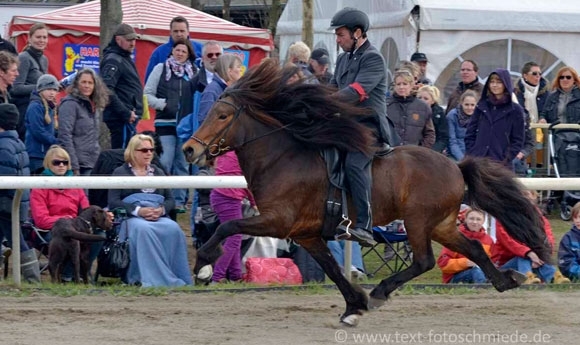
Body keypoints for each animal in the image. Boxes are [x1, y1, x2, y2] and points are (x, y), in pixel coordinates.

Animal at [184, 59, 552, 326]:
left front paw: (203, 265)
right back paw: (505, 280)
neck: (282, 158)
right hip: (441, 224)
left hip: (418, 221)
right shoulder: (305, 234)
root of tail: (455, 166)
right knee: (473, 247)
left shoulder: (278, 221)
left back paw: (381, 292)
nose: (189, 150)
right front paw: (353, 306)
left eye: (222, 115)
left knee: (423, 260)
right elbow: (333, 269)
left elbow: (227, 226)